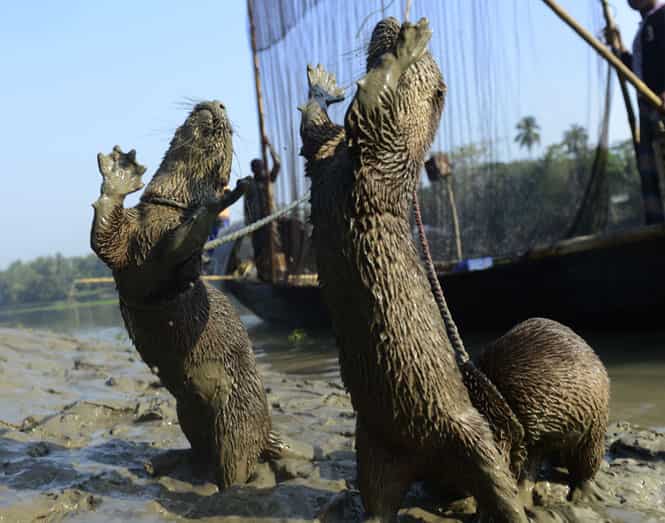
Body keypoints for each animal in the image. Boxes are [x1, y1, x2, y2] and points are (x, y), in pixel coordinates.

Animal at [90, 101, 278, 488]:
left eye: (229, 133)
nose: (217, 104)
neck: (165, 211)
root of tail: (267, 433)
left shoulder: (178, 263)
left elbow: (183, 248)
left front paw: (221, 198)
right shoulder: (124, 237)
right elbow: (104, 233)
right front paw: (119, 172)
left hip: (236, 423)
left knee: (238, 466)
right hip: (186, 411)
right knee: (201, 451)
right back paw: (169, 464)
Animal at [300, 18, 527, 522]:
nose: (387, 21)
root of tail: (430, 457)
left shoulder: (380, 152)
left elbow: (370, 100)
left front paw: (407, 47)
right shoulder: (328, 161)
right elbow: (315, 132)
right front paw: (322, 87)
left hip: (471, 434)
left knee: (500, 485)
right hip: (374, 446)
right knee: (379, 500)